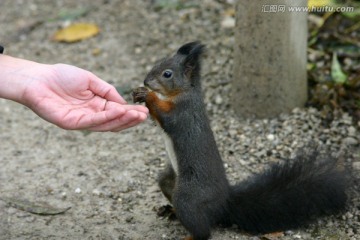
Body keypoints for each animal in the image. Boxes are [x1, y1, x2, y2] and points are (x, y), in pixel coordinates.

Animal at [133, 41, 348, 240]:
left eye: (167, 74)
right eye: (159, 62)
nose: (146, 81)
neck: (182, 92)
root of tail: (223, 203)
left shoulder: (183, 112)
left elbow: (167, 118)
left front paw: (148, 95)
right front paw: (139, 93)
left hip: (189, 197)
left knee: (204, 231)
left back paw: (189, 234)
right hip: (169, 180)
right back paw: (171, 211)